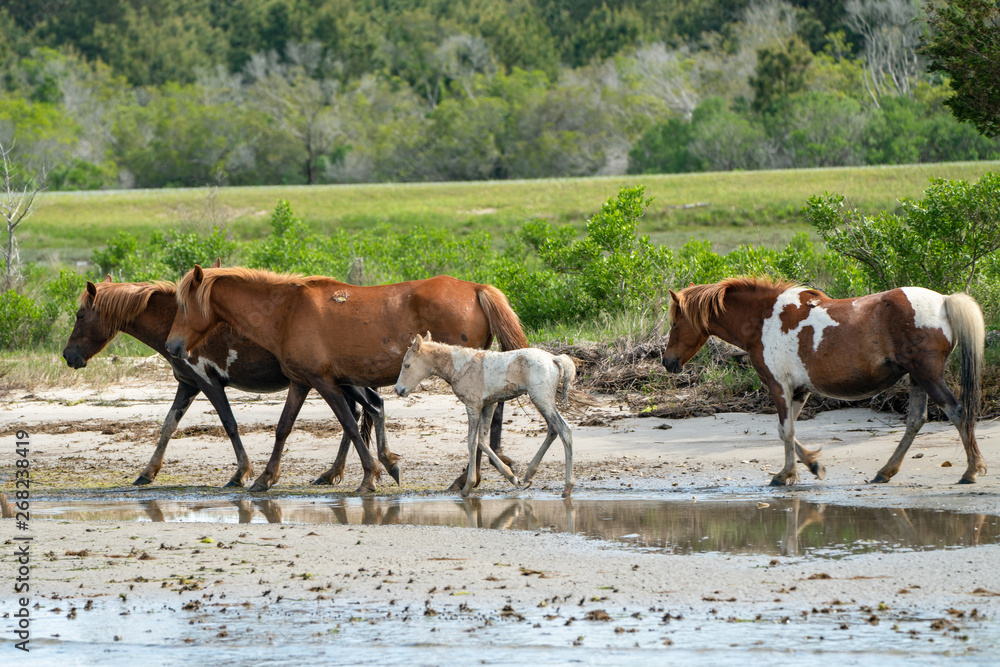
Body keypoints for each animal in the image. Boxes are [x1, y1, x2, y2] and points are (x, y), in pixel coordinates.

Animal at [62, 275, 396, 487]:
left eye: (80, 315)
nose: (68, 355)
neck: (175, 322)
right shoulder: (188, 385)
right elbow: (168, 427)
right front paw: (147, 472)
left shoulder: (209, 383)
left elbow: (229, 424)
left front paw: (241, 474)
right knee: (364, 410)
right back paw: (338, 472)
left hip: (342, 380)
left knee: (365, 410)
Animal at [165, 266, 528, 493]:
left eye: (182, 306)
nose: (171, 346)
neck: (285, 313)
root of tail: (476, 288)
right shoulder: (301, 381)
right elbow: (283, 428)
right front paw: (265, 478)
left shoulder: (324, 381)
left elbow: (350, 425)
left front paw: (370, 477)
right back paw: (471, 477)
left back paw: (467, 477)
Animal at [394, 332, 577, 497]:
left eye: (407, 365)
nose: (398, 389)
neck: (459, 366)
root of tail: (554, 359)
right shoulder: (489, 405)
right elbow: (482, 441)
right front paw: (512, 477)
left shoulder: (472, 406)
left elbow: (472, 442)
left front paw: (468, 486)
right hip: (542, 401)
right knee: (553, 429)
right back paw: (527, 477)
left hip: (541, 398)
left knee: (564, 429)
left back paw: (567, 487)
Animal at [661, 277, 985, 487]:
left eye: (675, 323)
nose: (668, 362)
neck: (763, 319)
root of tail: (944, 301)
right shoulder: (799, 390)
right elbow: (785, 431)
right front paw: (812, 464)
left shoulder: (778, 386)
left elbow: (786, 430)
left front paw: (786, 474)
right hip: (917, 377)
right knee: (916, 420)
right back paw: (885, 471)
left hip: (927, 374)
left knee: (957, 411)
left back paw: (971, 471)